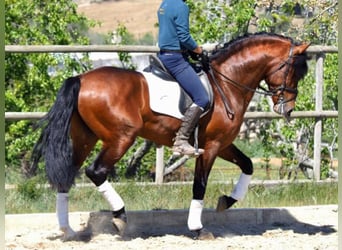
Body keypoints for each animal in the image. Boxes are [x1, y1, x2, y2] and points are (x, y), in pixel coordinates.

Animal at [31, 33, 310, 240]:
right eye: (294, 71)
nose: (287, 110)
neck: (227, 83)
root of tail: (81, 78)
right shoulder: (211, 146)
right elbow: (200, 185)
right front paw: (198, 229)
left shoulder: (222, 145)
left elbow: (248, 165)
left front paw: (227, 201)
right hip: (121, 138)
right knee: (96, 172)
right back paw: (119, 218)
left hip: (85, 138)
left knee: (66, 177)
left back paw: (67, 230)